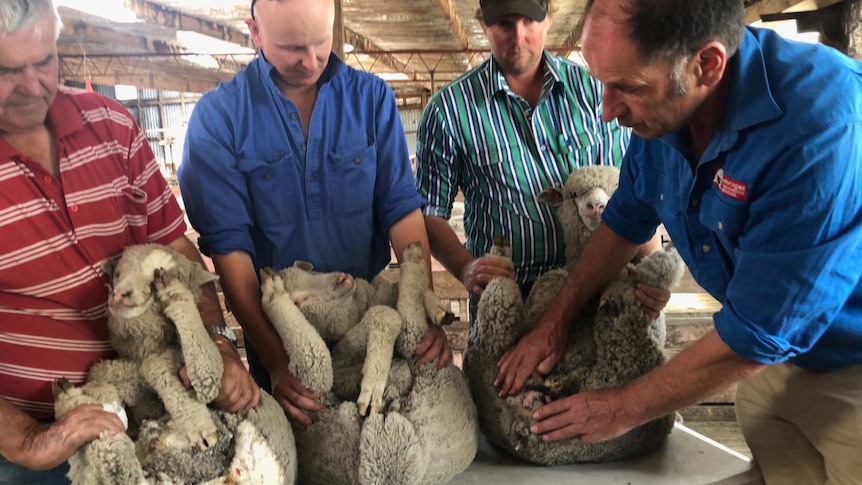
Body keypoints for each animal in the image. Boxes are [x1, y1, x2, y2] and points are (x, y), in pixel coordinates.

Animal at [54, 244, 296, 482]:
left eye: (152, 281)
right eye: (117, 274)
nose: (119, 294)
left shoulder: (204, 377)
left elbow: (176, 365)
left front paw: (198, 425)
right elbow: (107, 372)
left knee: (121, 471)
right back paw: (73, 402)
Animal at [260, 242, 482, 484]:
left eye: (311, 272)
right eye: (299, 300)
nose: (343, 278)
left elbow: (393, 299)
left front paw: (440, 310)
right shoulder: (338, 369)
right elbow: (385, 314)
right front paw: (374, 383)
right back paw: (271, 290)